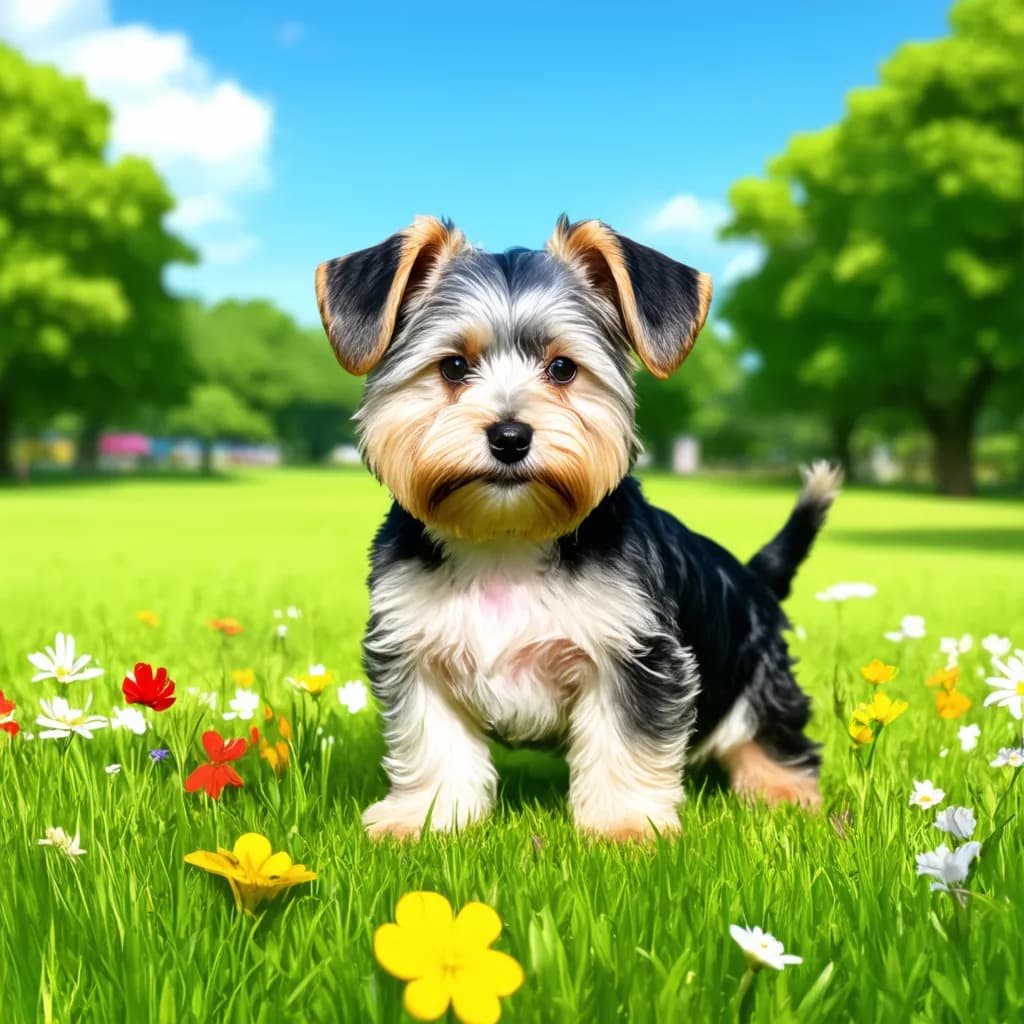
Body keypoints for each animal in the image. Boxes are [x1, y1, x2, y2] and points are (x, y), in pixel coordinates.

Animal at [315, 216, 835, 839]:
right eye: (453, 367)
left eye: (562, 368)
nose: (510, 436)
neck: (506, 538)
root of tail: (752, 575)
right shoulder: (414, 648)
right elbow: (433, 741)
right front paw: (425, 818)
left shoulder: (636, 653)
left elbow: (625, 741)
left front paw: (625, 824)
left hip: (757, 670)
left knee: (774, 729)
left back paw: (784, 793)